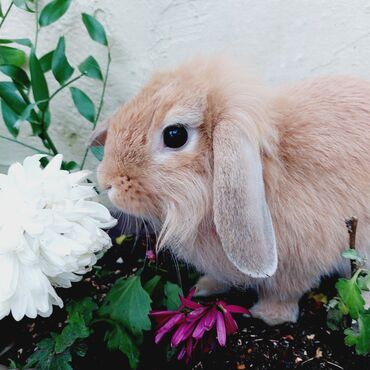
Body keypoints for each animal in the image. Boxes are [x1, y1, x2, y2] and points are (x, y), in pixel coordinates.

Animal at [92, 56, 370, 326]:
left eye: (174, 135)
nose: (106, 181)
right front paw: (204, 287)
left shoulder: (299, 263)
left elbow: (284, 292)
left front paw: (269, 316)